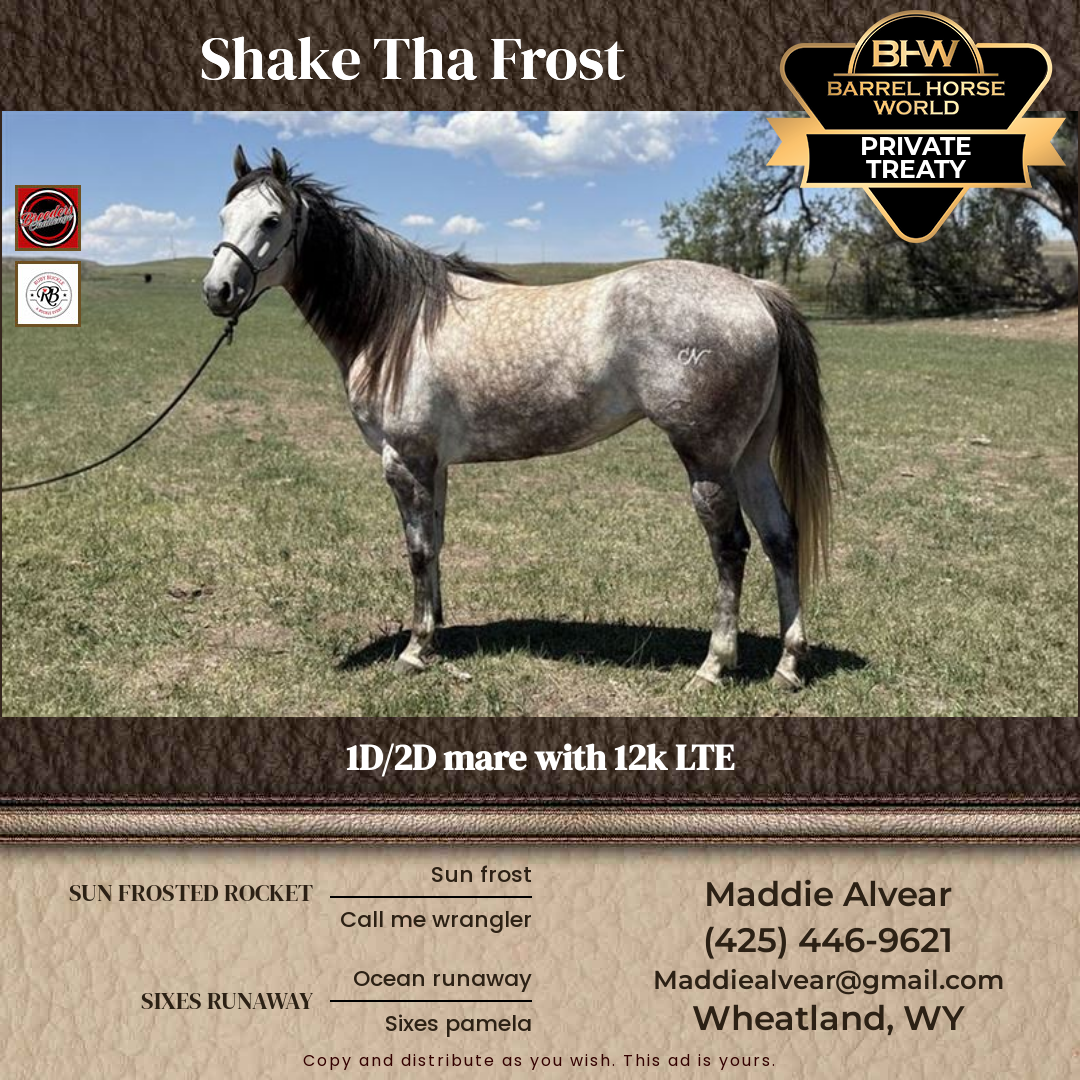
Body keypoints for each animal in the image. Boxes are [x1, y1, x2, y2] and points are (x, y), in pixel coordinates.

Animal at [203, 147, 839, 691]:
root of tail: (751, 290)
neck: (397, 322)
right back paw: (787, 665)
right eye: (225, 213)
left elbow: (416, 549)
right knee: (781, 537)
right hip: (748, 455)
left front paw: (414, 650)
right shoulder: (434, 463)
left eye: (272, 220)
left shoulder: (404, 460)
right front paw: (436, 634)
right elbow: (436, 541)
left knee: (731, 546)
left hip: (707, 457)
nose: (218, 290)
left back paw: (713, 666)